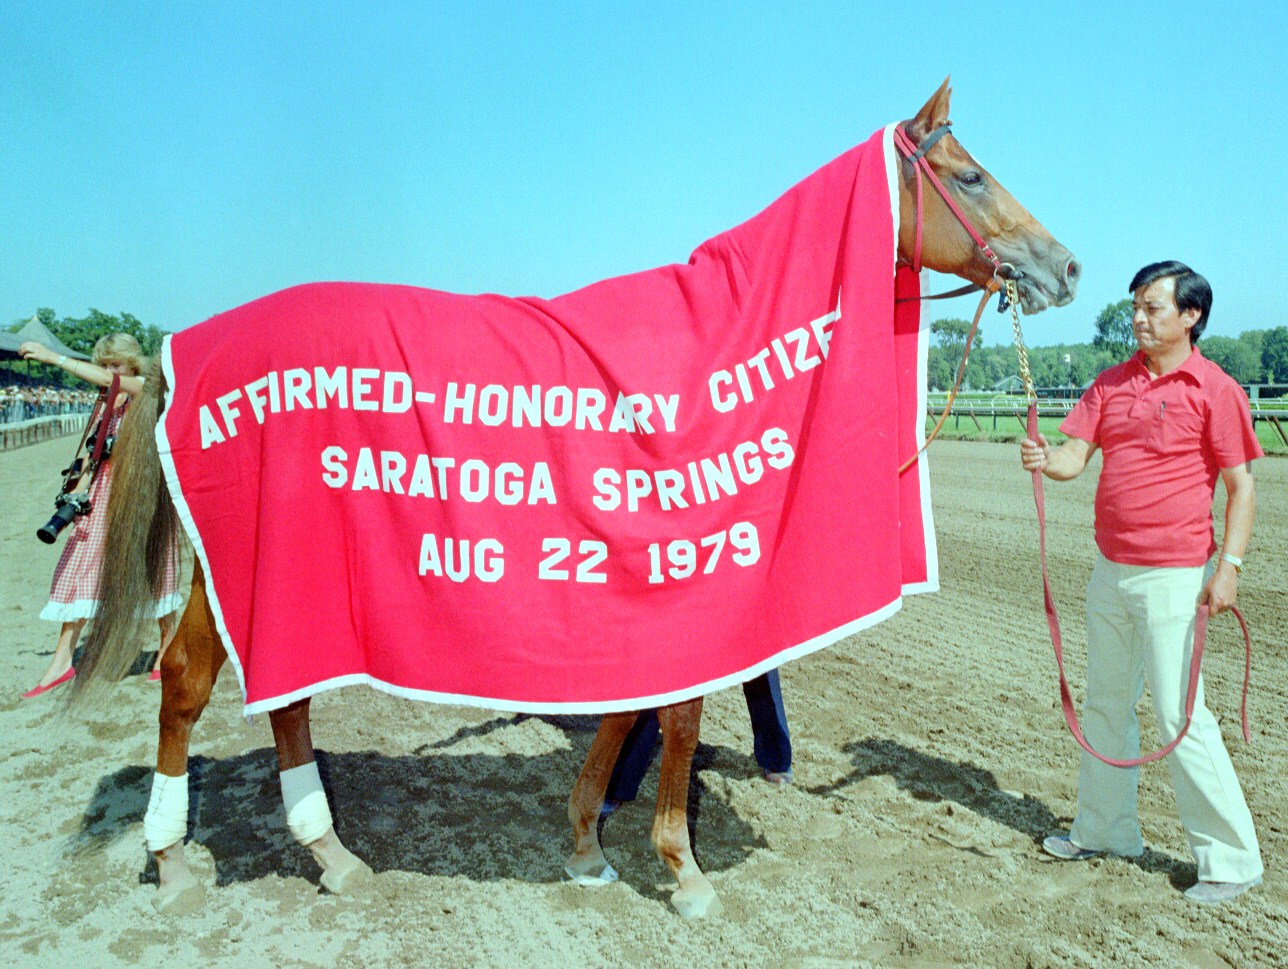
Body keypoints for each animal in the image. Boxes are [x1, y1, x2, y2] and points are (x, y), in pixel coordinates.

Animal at [67, 79, 1076, 917]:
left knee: (287, 696)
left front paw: (590, 842)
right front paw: (682, 868)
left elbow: (630, 707)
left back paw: (333, 855)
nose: (1063, 265)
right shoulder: (687, 578)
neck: (712, 341)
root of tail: (180, 349)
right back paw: (174, 858)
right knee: (187, 683)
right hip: (228, 559)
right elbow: (674, 718)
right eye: (972, 175)